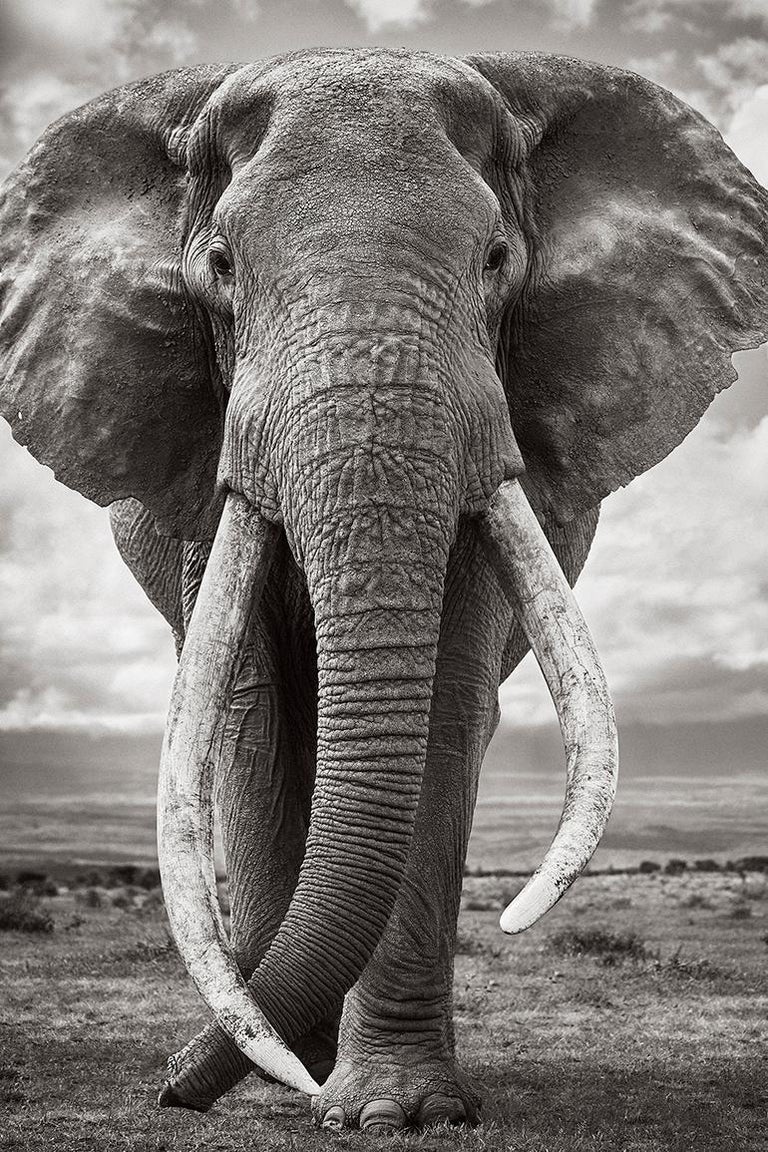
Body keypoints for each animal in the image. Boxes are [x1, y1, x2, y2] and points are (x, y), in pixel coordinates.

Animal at [0, 47, 765, 1135]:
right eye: (220, 268)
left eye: (496, 259)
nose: (169, 1090)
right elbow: (251, 711)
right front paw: (296, 1075)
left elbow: (444, 702)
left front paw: (393, 1112)